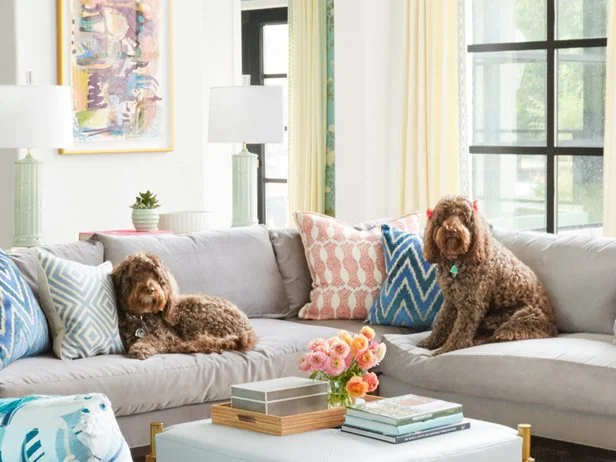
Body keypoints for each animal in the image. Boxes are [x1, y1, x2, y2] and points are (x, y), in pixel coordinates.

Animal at [110, 253, 255, 360]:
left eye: (156, 276)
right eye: (137, 273)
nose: (150, 289)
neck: (142, 316)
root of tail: (247, 328)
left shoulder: (167, 336)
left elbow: (152, 339)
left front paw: (140, 347)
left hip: (193, 311)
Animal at [418, 193, 560, 356]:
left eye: (463, 216)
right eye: (445, 215)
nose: (452, 230)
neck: (458, 260)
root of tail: (553, 328)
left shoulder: (472, 304)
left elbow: (460, 332)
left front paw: (447, 349)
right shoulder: (451, 300)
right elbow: (442, 323)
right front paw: (429, 342)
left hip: (521, 318)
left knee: (498, 335)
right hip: (493, 318)